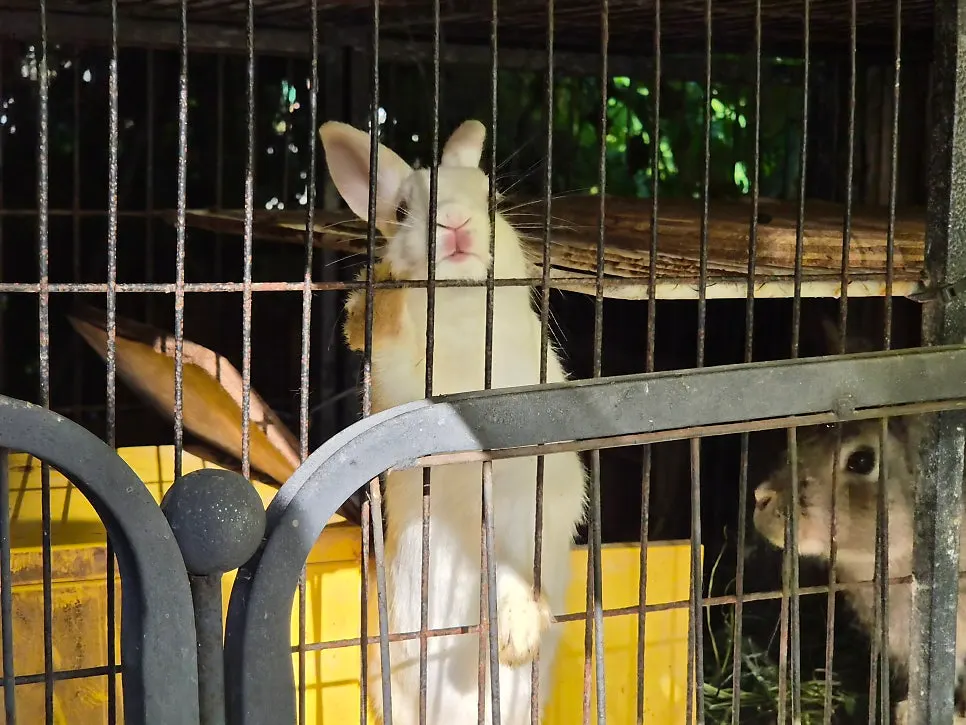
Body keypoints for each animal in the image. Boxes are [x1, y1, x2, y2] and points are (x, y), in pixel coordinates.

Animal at [320, 118, 588, 725]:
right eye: (400, 210)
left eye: (490, 198)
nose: (455, 224)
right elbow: (388, 320)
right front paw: (376, 296)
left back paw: (515, 638)